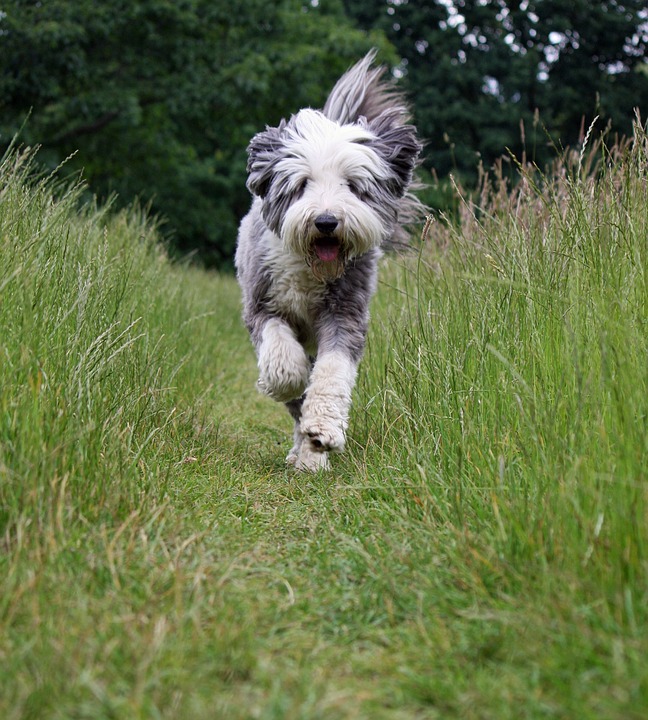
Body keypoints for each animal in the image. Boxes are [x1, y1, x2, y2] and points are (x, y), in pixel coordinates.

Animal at [235, 47, 422, 470]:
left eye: (353, 186)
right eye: (303, 184)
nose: (326, 221)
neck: (310, 268)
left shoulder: (345, 312)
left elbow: (332, 372)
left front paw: (321, 433)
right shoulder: (262, 303)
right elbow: (283, 360)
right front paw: (284, 380)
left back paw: (309, 455)